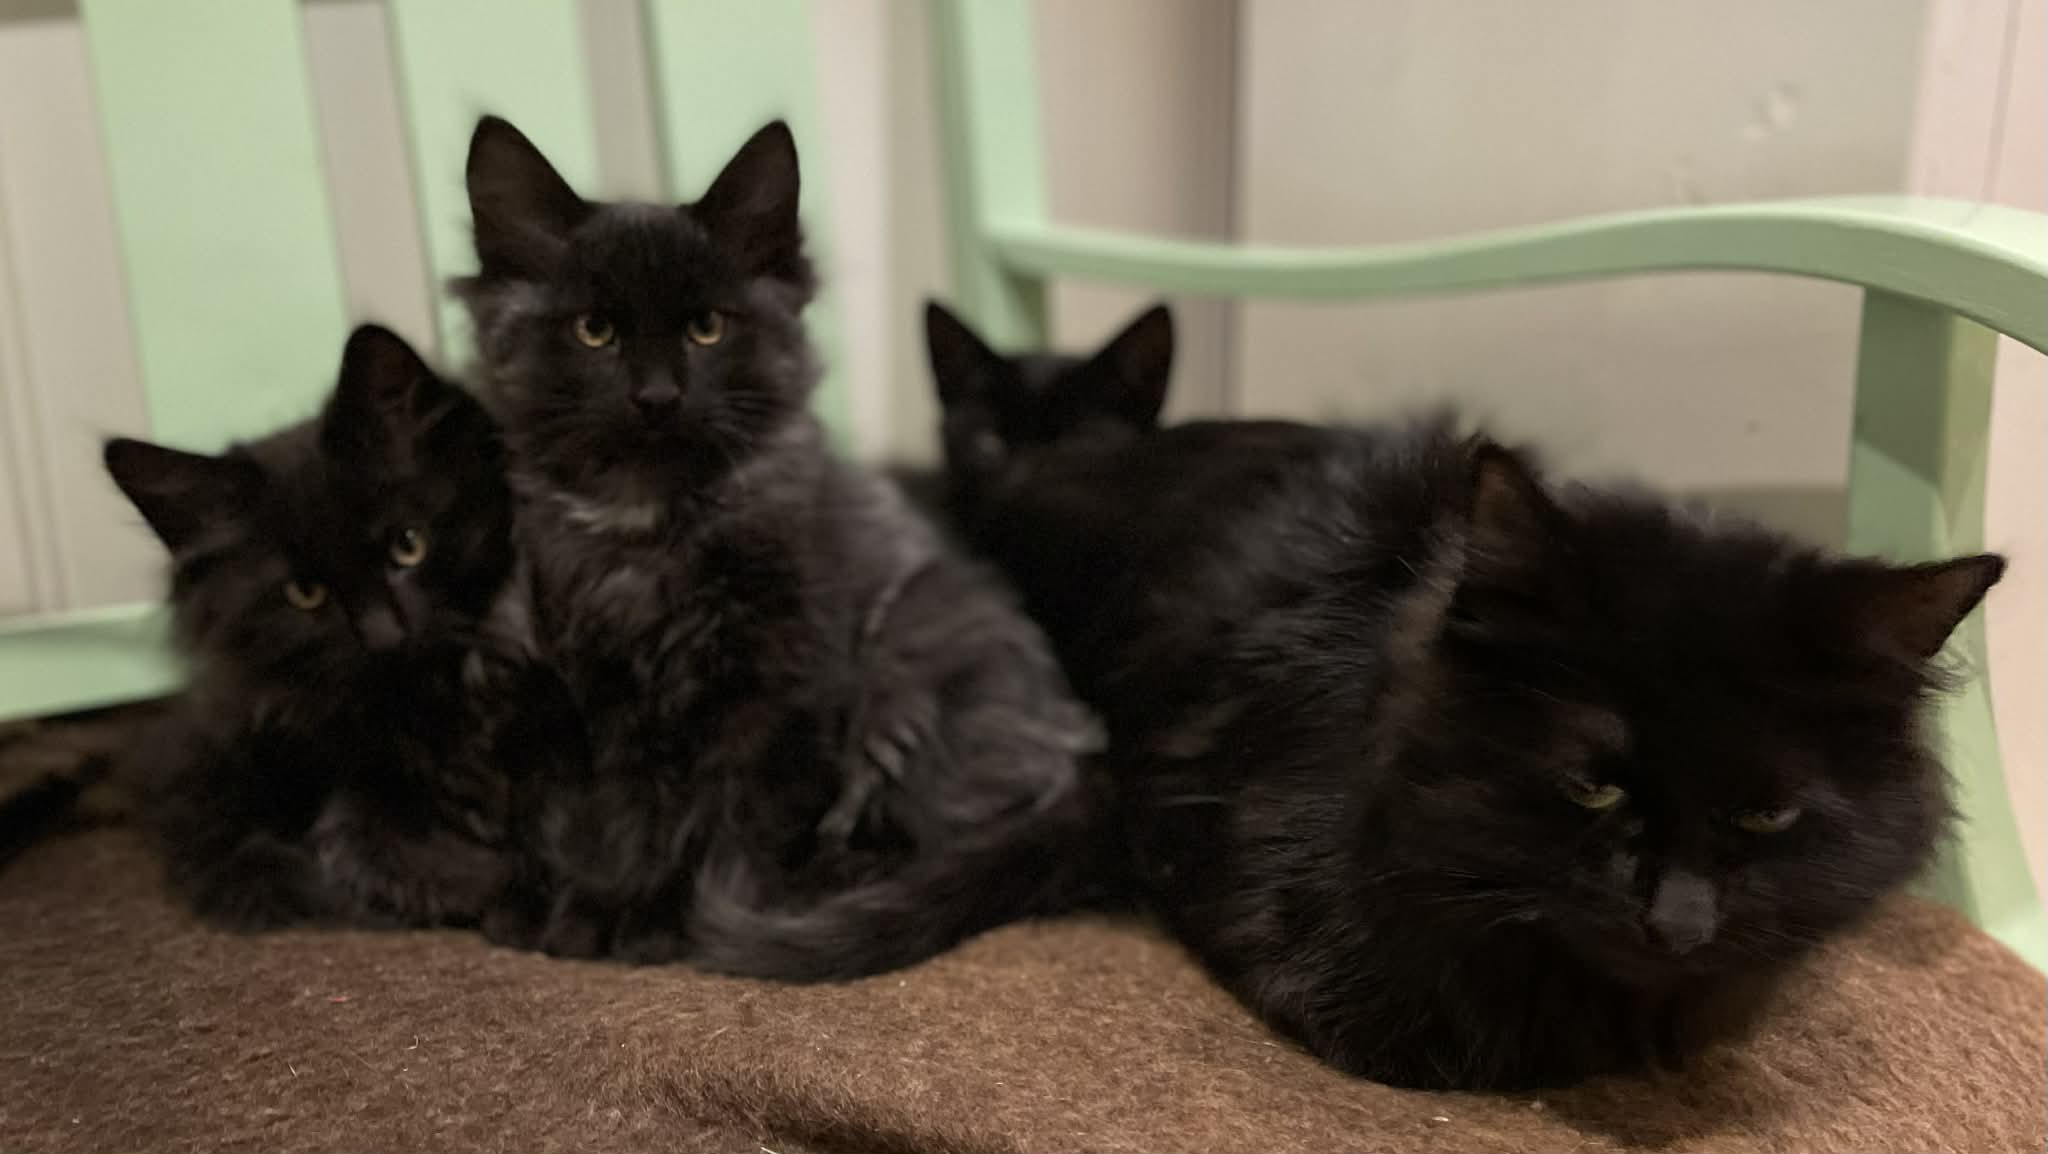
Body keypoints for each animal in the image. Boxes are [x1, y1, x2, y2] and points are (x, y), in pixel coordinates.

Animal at [454, 115, 1104, 977]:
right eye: (595, 331)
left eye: (707, 328)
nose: (656, 396)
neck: (646, 529)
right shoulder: (553, 692)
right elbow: (573, 814)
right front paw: (555, 903)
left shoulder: (770, 691)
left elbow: (716, 826)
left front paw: (656, 917)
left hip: (904, 689)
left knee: (927, 836)